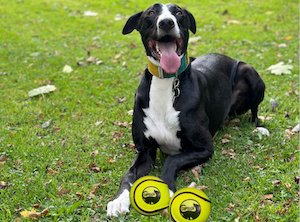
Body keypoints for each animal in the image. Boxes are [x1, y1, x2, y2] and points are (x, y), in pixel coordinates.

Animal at [106, 2, 264, 217]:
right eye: (151, 12)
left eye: (178, 12)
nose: (166, 22)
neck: (166, 83)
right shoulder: (145, 152)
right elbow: (128, 175)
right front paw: (118, 200)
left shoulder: (204, 147)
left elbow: (171, 160)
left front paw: (167, 190)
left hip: (250, 73)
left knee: (255, 112)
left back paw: (259, 128)